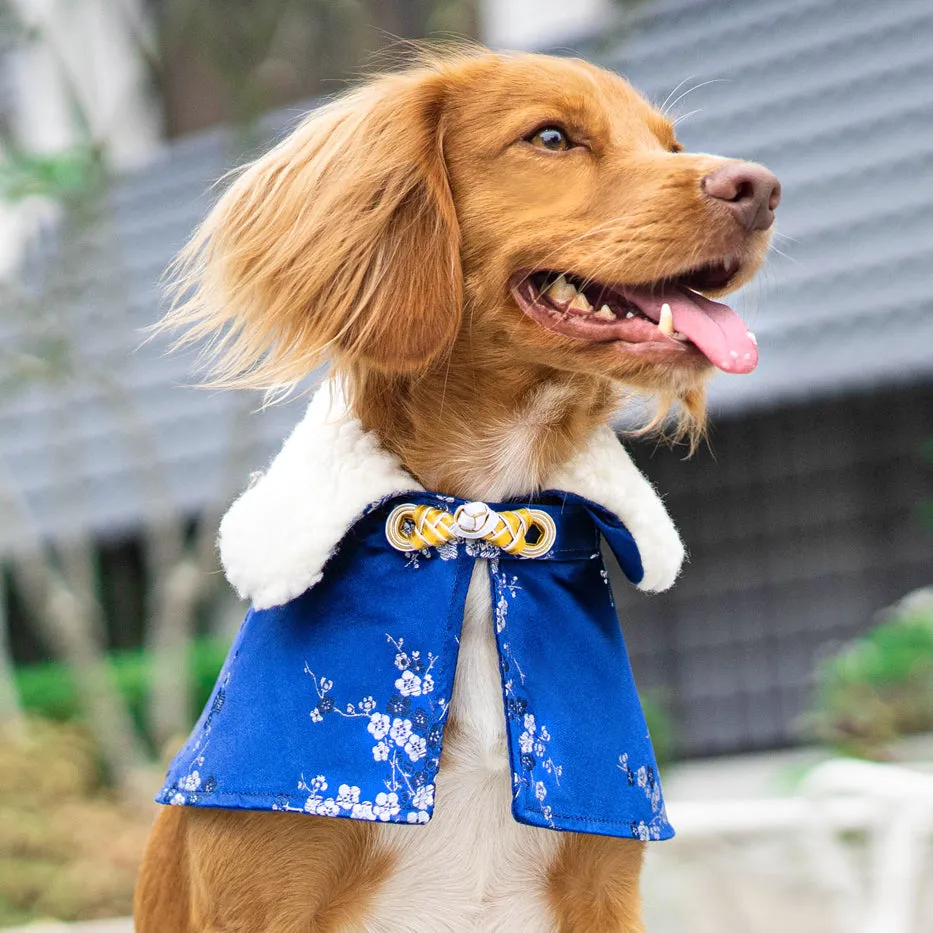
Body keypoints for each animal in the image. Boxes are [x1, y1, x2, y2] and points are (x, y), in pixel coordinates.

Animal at [135, 45, 780, 932]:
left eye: (669, 143)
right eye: (551, 137)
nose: (761, 187)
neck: (480, 530)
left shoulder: (605, 889)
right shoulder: (259, 898)